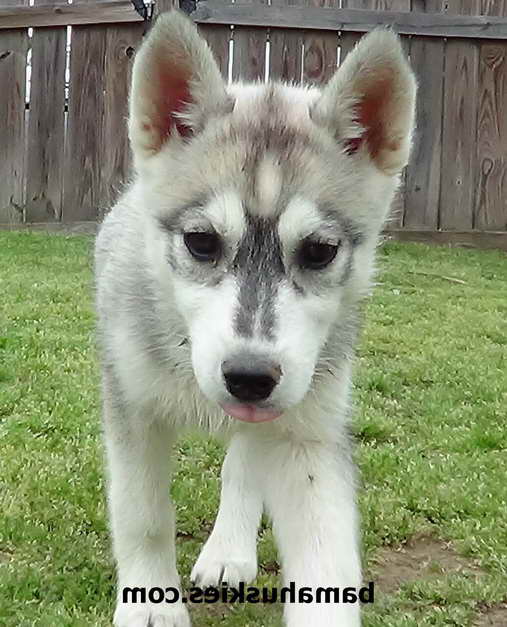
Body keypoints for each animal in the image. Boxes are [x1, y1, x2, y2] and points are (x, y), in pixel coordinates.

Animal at [95, 11, 416, 627]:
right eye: (200, 242)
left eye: (319, 251)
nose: (248, 376)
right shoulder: (132, 408)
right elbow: (143, 514)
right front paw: (150, 600)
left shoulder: (307, 431)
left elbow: (326, 559)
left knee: (243, 463)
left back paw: (229, 551)